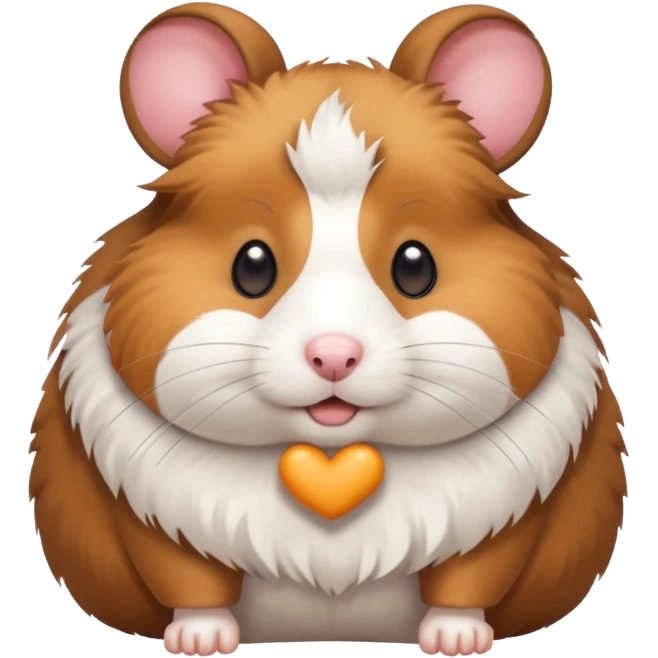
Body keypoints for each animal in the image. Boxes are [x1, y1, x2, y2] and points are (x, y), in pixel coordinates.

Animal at [28, 3, 628, 656]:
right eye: (252, 265)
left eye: (415, 266)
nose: (334, 356)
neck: (330, 454)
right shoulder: (160, 524)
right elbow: (191, 580)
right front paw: (199, 641)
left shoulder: (500, 525)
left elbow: (467, 579)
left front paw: (457, 640)